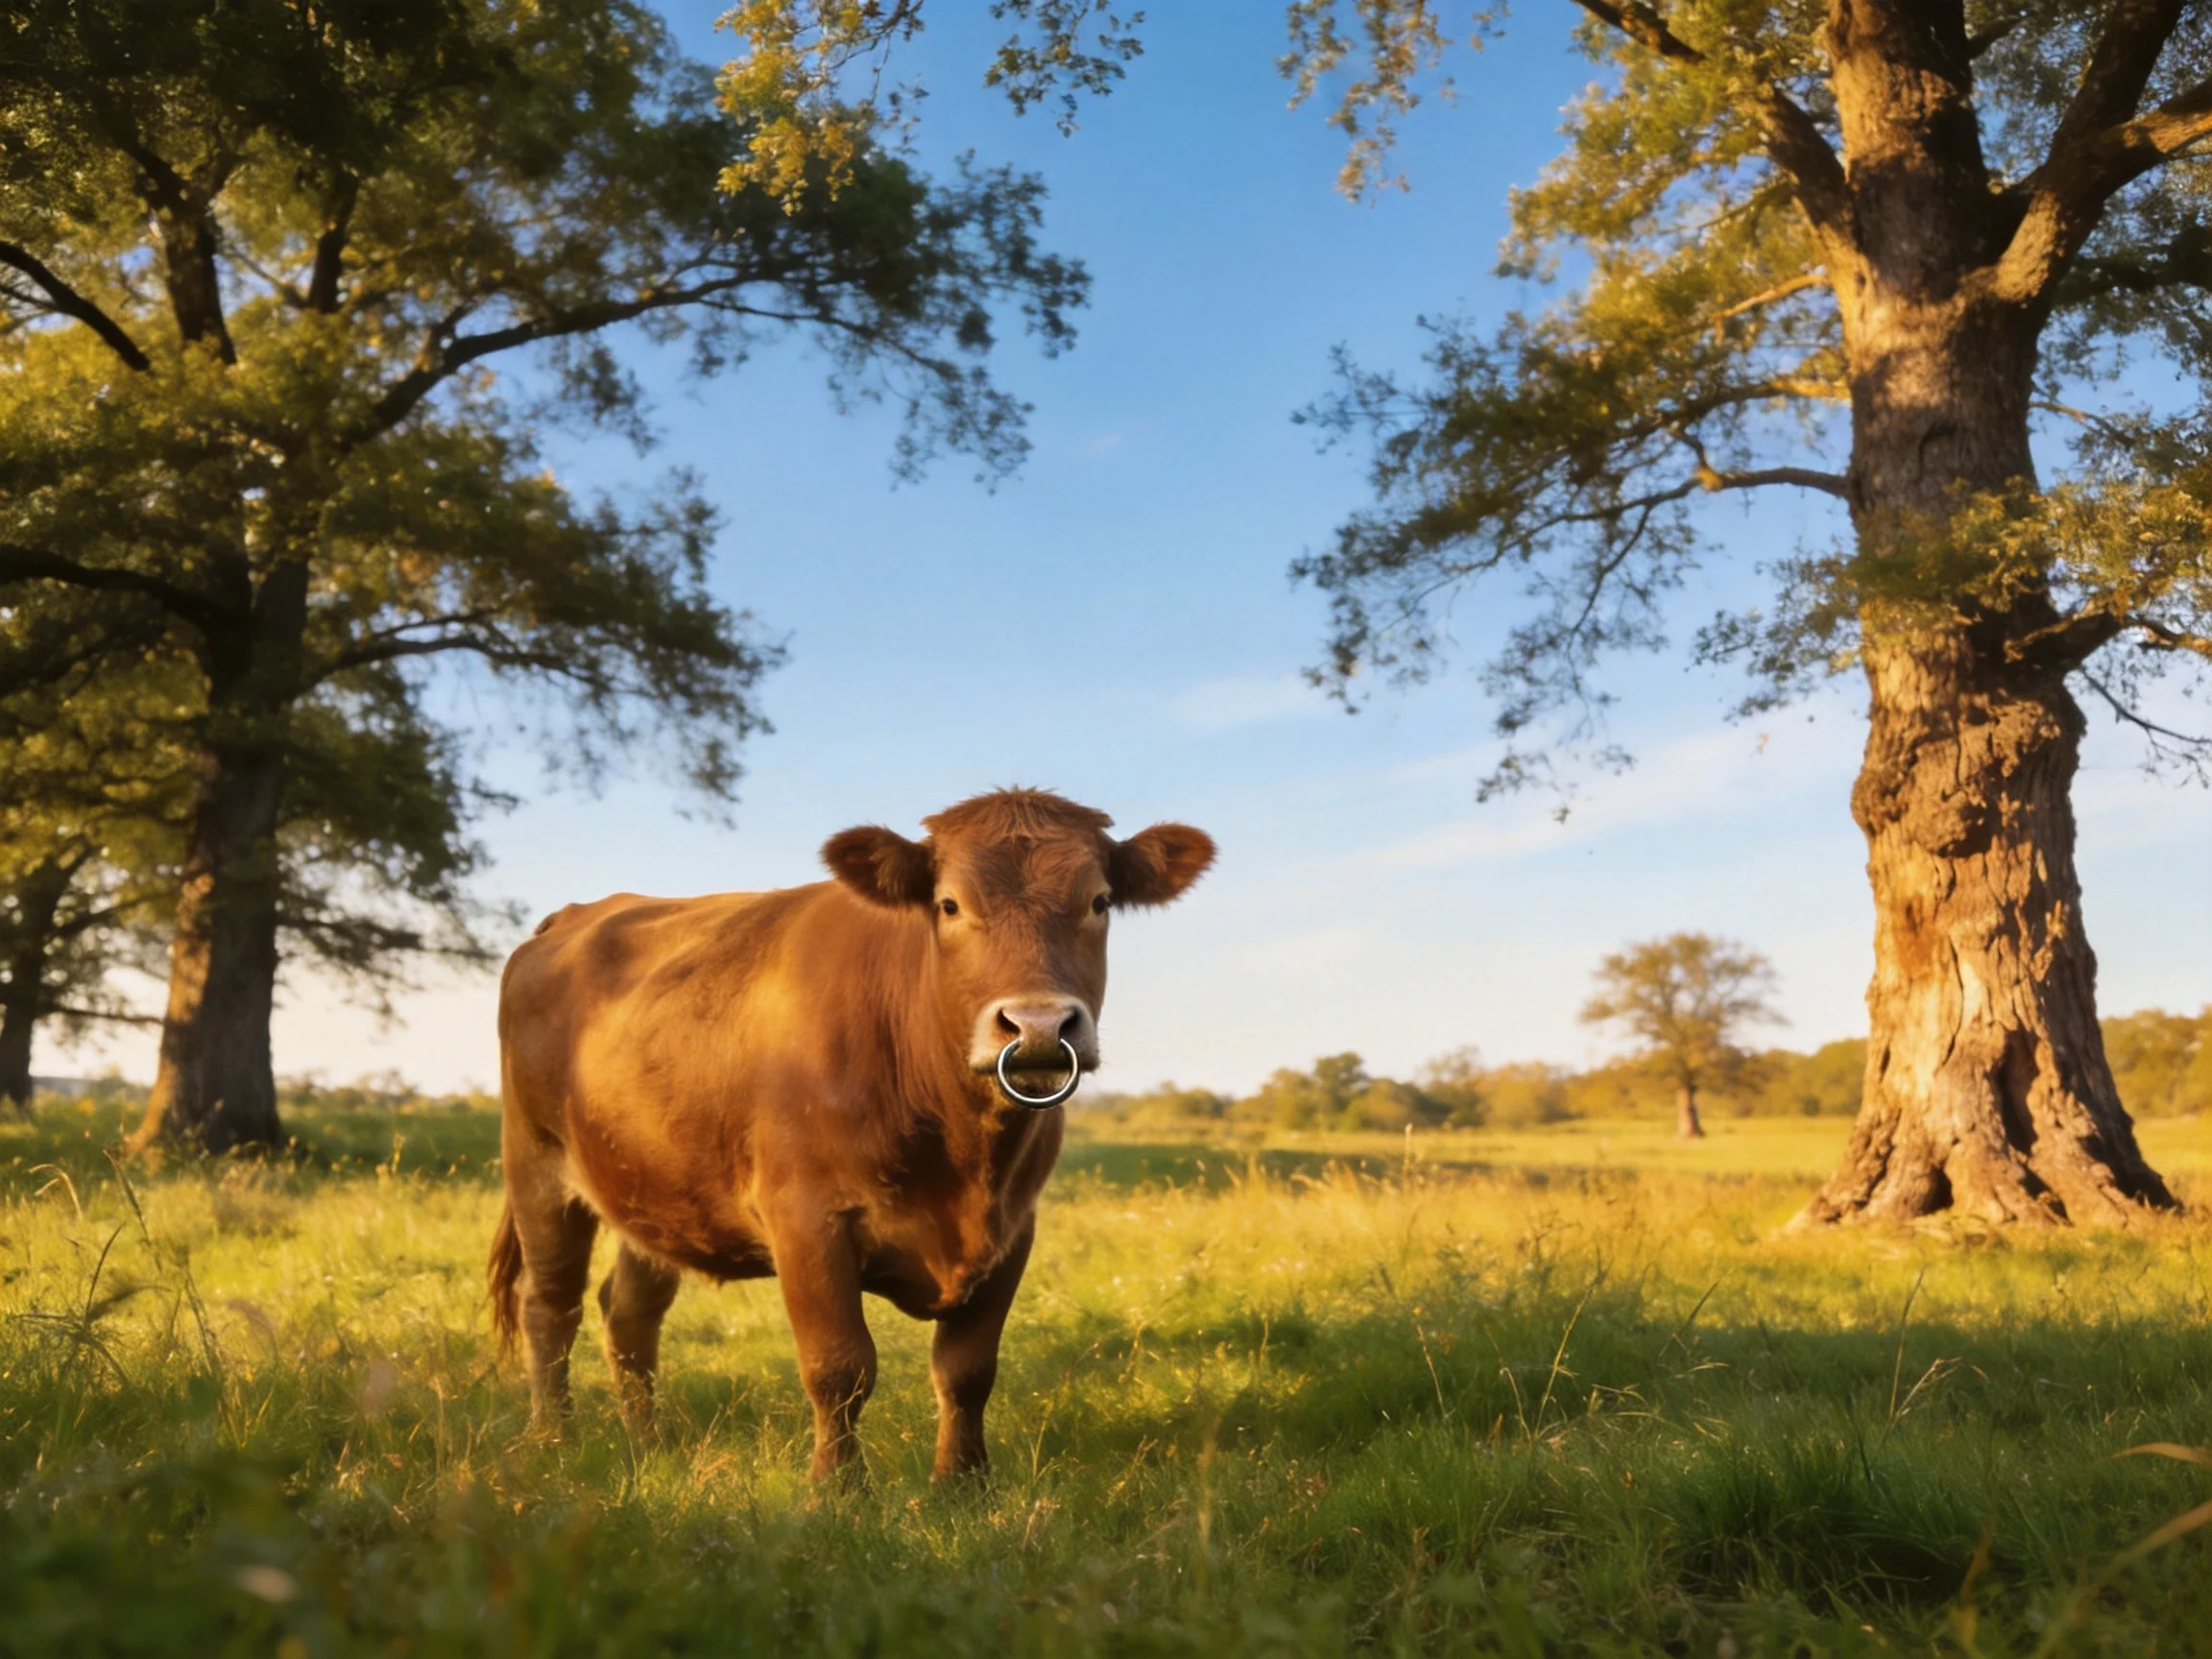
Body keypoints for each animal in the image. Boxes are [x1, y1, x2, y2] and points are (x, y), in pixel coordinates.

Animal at [489, 788, 1215, 1481]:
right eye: (949, 904)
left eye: (1099, 901)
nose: (1037, 1026)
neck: (963, 1151)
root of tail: (577, 916)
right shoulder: (807, 1219)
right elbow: (840, 1367)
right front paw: (837, 1489)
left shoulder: (1013, 1229)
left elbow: (968, 1369)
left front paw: (963, 1484)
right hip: (538, 1165)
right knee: (550, 1305)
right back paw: (554, 1439)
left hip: (655, 1187)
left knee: (628, 1313)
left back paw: (648, 1442)